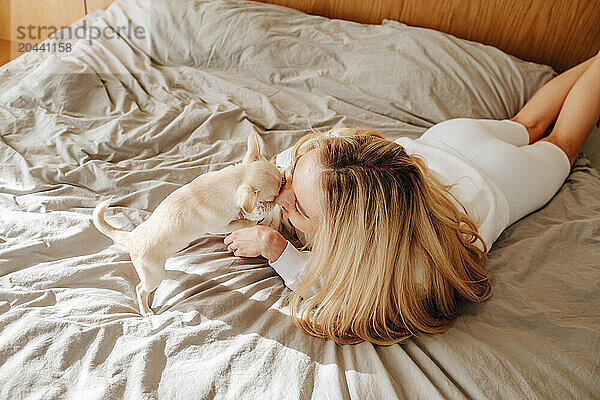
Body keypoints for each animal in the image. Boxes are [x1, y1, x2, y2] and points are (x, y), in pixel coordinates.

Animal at [92, 130, 284, 316]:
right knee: (140, 289)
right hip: (153, 273)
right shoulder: (219, 226)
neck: (232, 180)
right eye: (272, 198)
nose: (279, 197)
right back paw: (145, 311)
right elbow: (240, 223)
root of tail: (131, 238)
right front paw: (252, 220)